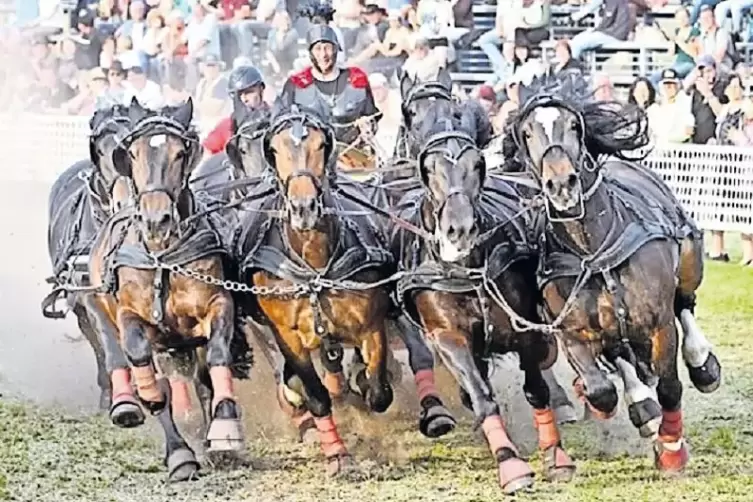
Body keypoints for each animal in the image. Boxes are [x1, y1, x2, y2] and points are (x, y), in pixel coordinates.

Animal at [85, 98, 250, 482]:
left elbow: (218, 355)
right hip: (105, 312)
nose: (156, 219)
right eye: (132, 153)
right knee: (127, 362)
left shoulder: (217, 303)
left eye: (181, 152)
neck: (162, 256)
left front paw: (224, 430)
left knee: (200, 378)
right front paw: (178, 451)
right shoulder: (132, 317)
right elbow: (144, 368)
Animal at [234, 104, 396, 476]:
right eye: (274, 149)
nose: (303, 208)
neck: (314, 263)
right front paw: (337, 454)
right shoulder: (287, 335)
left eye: (322, 145)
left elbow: (379, 392)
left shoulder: (371, 324)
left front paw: (361, 386)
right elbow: (316, 395)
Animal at [390, 87, 572, 494]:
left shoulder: (523, 328)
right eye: (430, 168)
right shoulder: (447, 336)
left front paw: (556, 455)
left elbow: (537, 388)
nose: (459, 229)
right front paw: (511, 464)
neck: (467, 268)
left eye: (476, 165)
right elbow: (481, 396)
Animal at [506, 72, 724, 472]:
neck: (595, 253)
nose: (561, 185)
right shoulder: (572, 332)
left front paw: (672, 448)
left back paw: (703, 364)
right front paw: (624, 405)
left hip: (688, 260)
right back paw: (641, 402)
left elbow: (670, 384)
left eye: (574, 126)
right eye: (527, 133)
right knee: (621, 352)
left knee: (685, 303)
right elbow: (602, 390)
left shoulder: (659, 325)